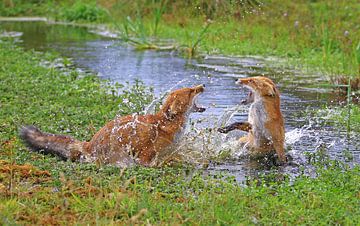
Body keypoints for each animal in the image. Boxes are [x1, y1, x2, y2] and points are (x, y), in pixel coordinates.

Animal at [20, 84, 205, 166]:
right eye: (190, 91)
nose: (202, 85)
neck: (165, 125)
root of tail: (90, 144)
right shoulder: (147, 151)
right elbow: (150, 162)